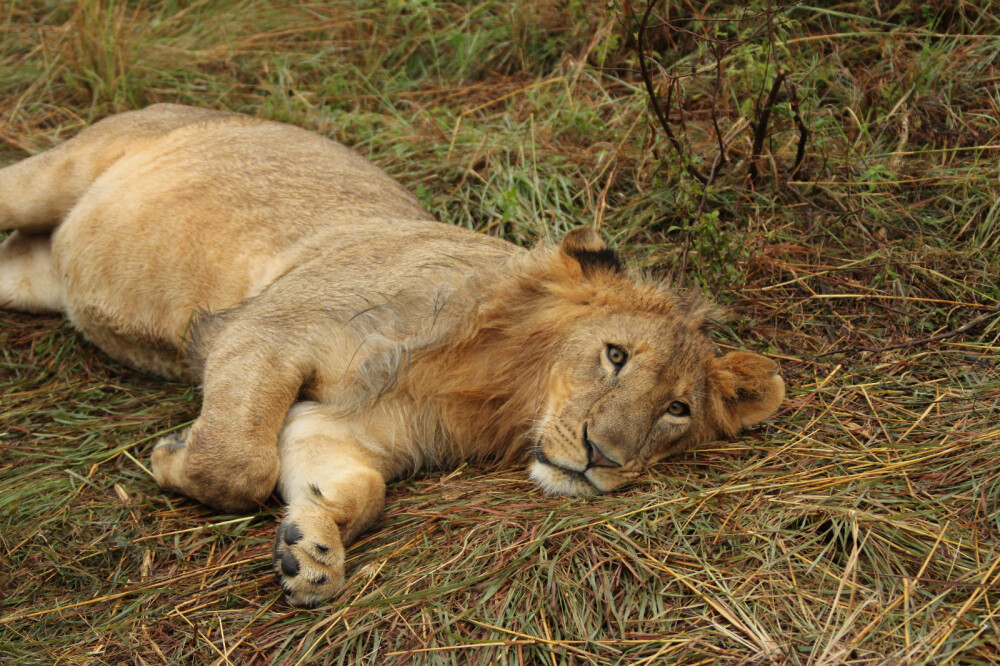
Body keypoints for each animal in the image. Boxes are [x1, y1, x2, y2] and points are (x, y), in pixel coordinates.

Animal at [0, 104, 784, 607]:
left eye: (676, 409)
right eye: (615, 356)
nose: (602, 458)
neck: (490, 386)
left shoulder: (337, 427)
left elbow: (356, 486)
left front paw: (312, 550)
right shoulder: (265, 331)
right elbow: (239, 464)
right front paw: (168, 459)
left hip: (32, 278)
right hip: (52, 175)